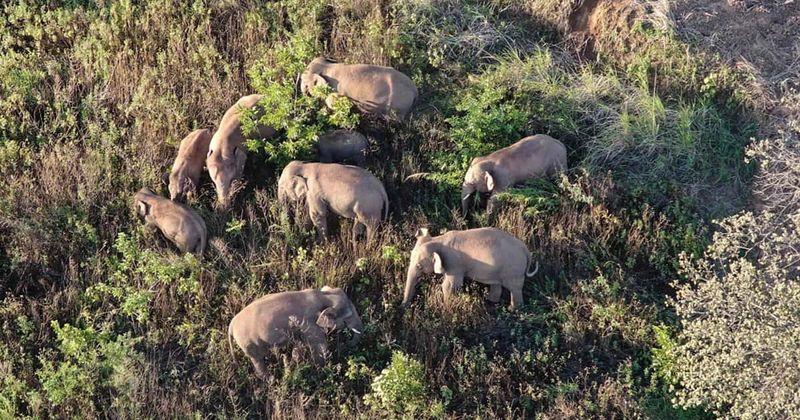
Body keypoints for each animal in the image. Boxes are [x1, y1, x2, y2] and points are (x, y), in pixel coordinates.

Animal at [227, 286, 363, 377]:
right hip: (248, 343)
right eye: (347, 318)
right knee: (257, 360)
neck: (323, 295)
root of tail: (231, 325)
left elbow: (300, 345)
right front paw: (321, 370)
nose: (344, 343)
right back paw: (271, 380)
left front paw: (294, 364)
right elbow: (319, 346)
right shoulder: (310, 323)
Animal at [401, 227, 539, 310]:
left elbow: (450, 285)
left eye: (419, 266)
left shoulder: (454, 263)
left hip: (513, 269)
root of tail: (526, 250)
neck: (438, 239)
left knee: (515, 288)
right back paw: (490, 301)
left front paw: (447, 307)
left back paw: (513, 309)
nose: (403, 307)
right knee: (497, 284)